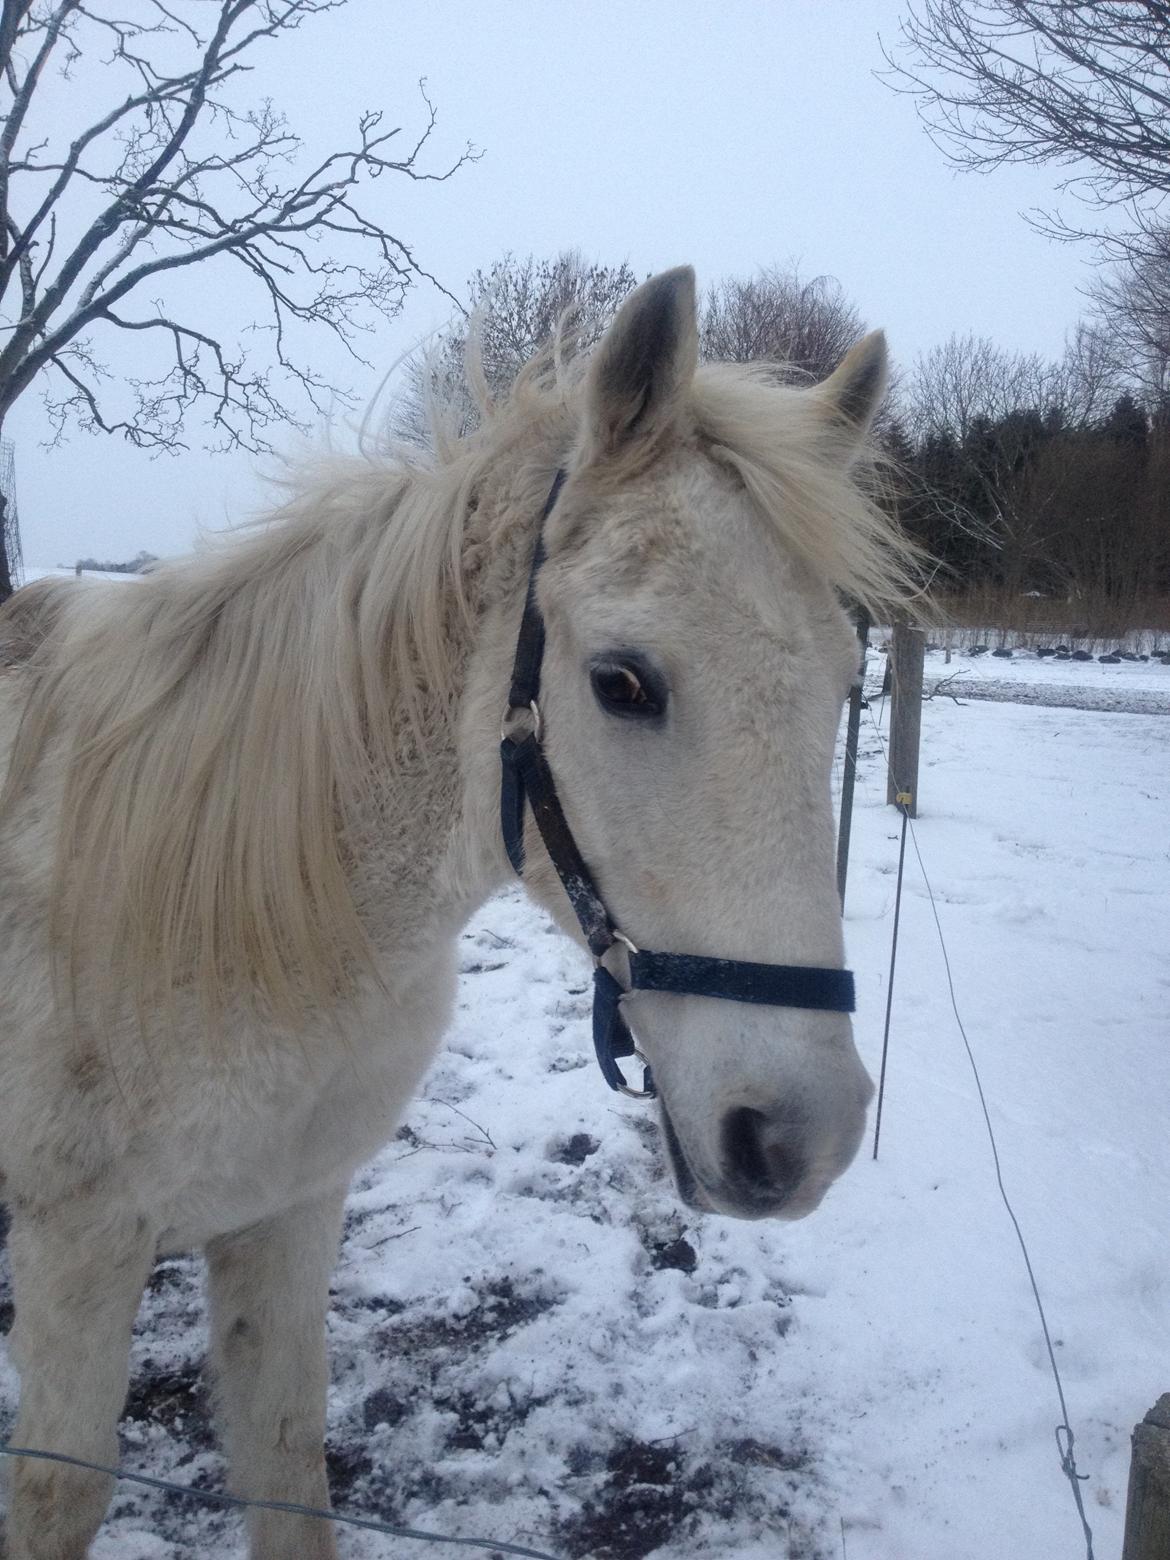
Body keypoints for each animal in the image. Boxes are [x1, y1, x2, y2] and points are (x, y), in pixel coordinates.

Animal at [0, 265, 917, 1547]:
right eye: (622, 682)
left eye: (845, 681)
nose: (802, 1137)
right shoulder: (78, 1250)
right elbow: (59, 1489)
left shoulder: (288, 1213)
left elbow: (287, 1460)